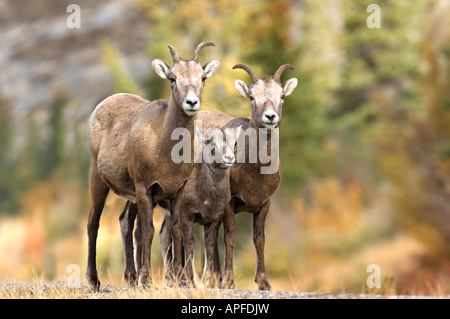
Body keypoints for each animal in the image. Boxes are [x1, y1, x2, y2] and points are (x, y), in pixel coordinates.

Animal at [85, 41, 220, 288]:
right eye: (172, 78)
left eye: (203, 77)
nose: (191, 103)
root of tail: (103, 104)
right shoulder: (144, 187)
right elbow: (147, 231)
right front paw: (146, 280)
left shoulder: (177, 191)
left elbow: (175, 230)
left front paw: (177, 280)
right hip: (99, 180)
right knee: (93, 223)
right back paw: (94, 280)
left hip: (131, 196)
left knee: (125, 222)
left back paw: (130, 277)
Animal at [171, 125, 241, 288]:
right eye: (213, 144)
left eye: (234, 143)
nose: (229, 159)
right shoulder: (187, 215)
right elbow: (189, 242)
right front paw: (190, 280)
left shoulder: (213, 218)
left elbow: (209, 244)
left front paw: (208, 280)